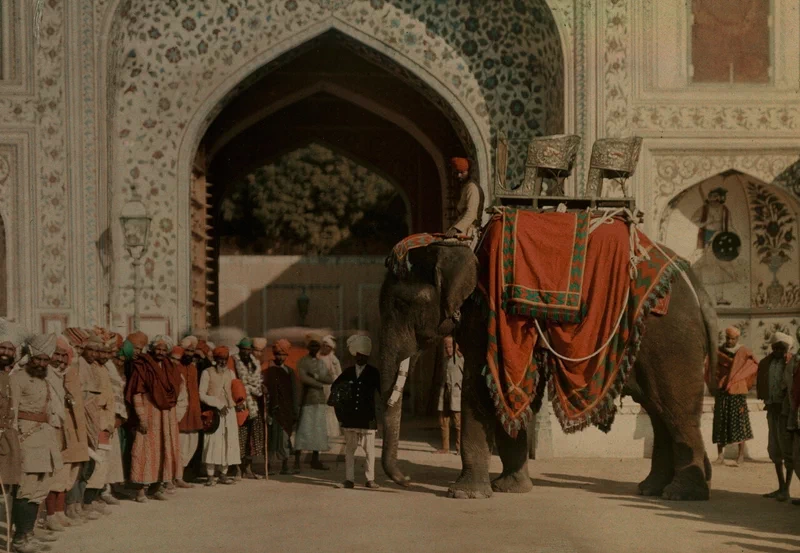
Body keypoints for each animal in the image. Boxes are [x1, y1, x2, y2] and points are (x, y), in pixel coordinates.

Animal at [380, 242, 720, 500]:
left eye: (400, 305)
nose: (405, 480)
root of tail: (697, 286)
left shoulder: (485, 320)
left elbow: (480, 390)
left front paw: (463, 494)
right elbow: (515, 393)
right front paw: (510, 488)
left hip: (670, 341)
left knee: (675, 410)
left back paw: (681, 494)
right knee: (659, 410)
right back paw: (651, 489)